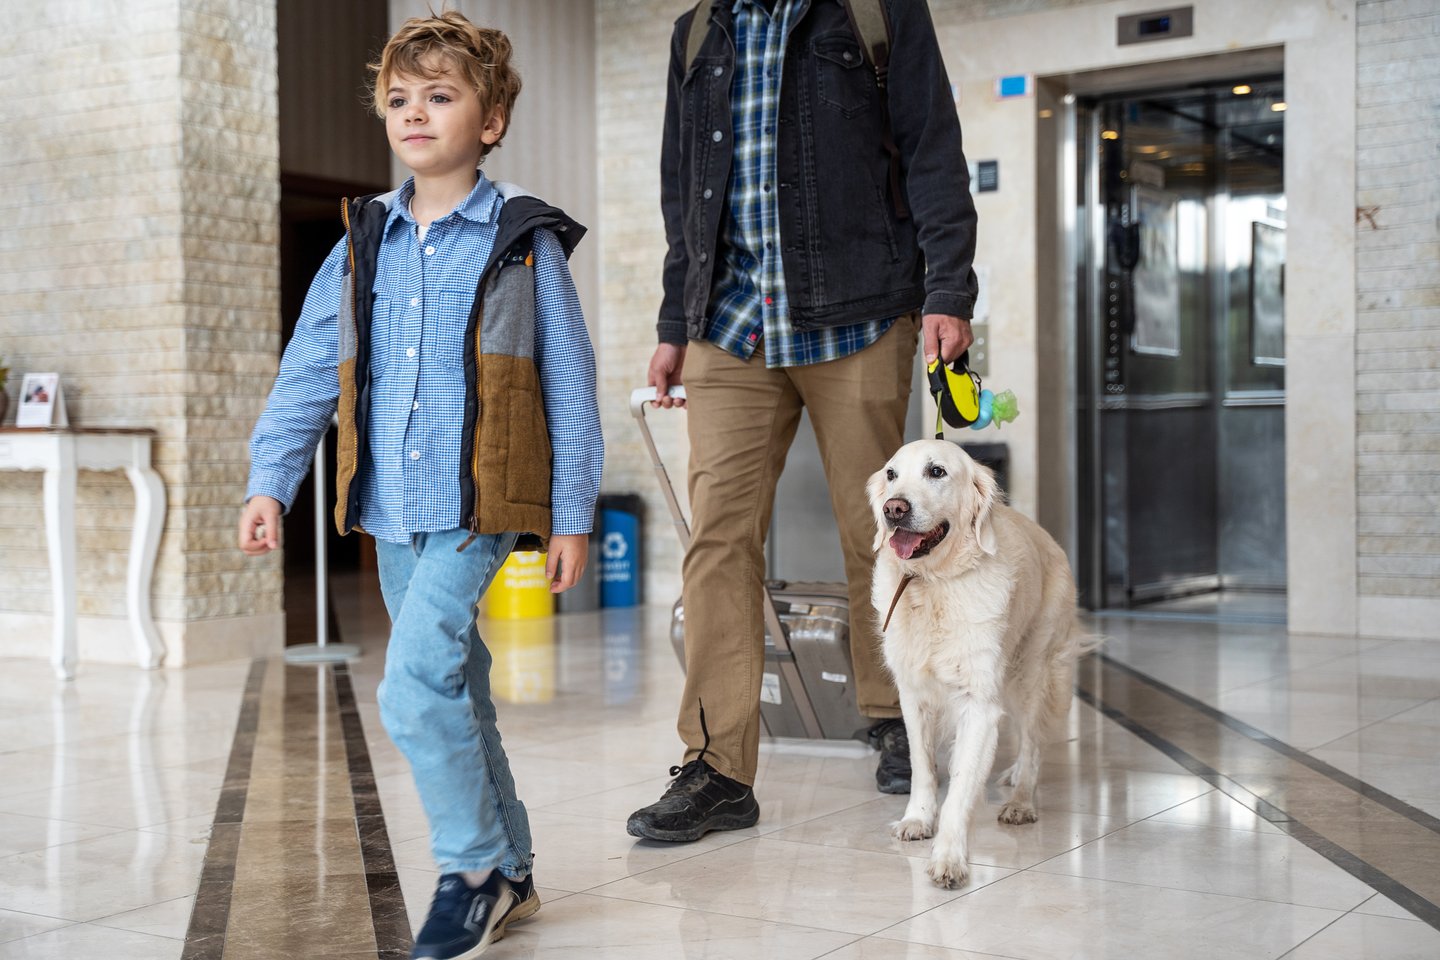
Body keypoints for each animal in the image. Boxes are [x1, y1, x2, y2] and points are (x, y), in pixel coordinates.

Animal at [864, 440, 1088, 892]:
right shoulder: (914, 697)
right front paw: (917, 819)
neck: (932, 586)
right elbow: (923, 767)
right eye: (892, 474)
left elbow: (962, 786)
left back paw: (1021, 801)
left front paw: (949, 857)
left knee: (1033, 743)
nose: (894, 509)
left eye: (936, 471)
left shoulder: (979, 705)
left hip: (1029, 674)